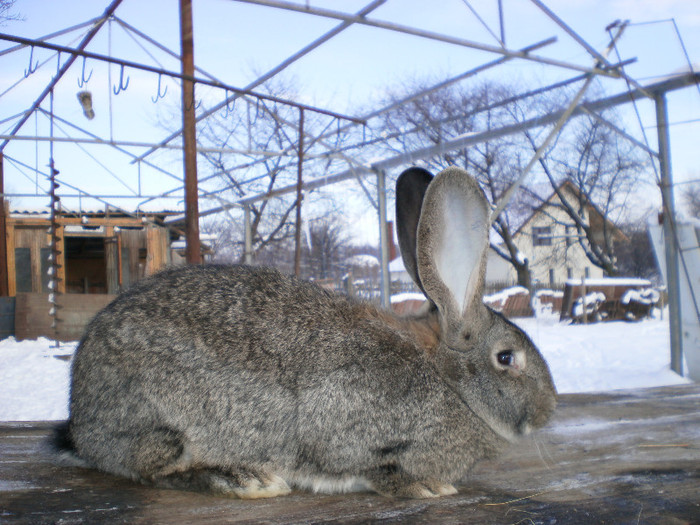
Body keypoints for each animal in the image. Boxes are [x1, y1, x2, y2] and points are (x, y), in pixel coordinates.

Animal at [57, 166, 556, 498]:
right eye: (507, 358)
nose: (549, 410)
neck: (448, 381)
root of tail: (81, 417)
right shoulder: (348, 423)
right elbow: (372, 465)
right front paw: (427, 487)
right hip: (165, 426)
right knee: (153, 467)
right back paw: (244, 478)